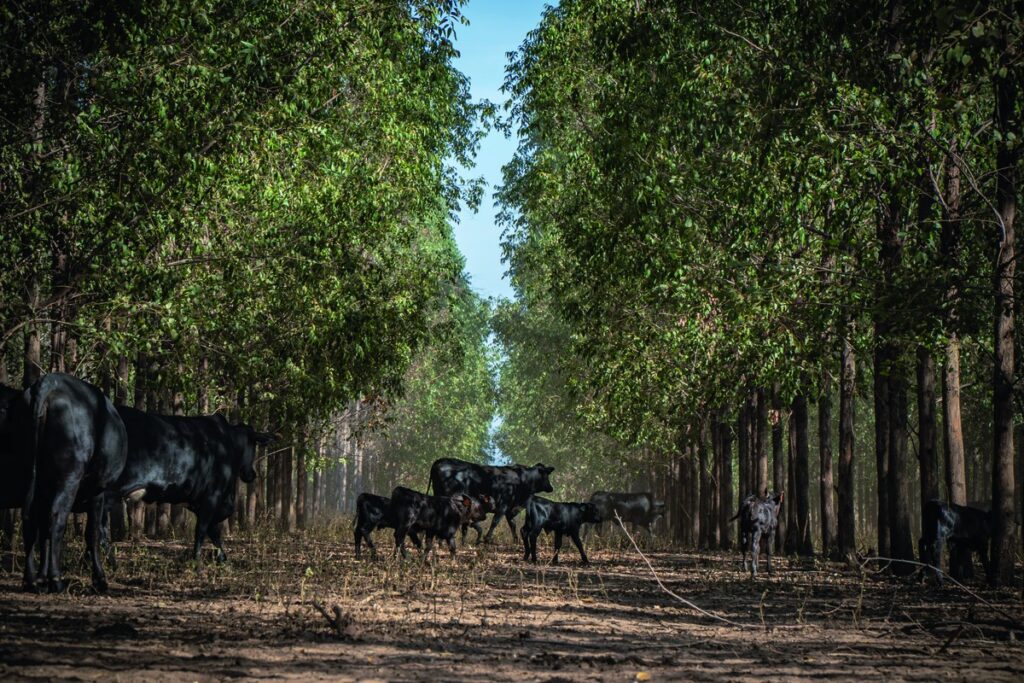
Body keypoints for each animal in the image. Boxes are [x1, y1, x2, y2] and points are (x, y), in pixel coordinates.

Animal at [15, 374, 126, 593]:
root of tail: (48, 382)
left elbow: (44, 532)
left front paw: (42, 577)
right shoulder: (97, 491)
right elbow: (93, 532)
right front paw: (99, 579)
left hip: (31, 471)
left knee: (31, 516)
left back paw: (31, 580)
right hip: (70, 475)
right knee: (57, 516)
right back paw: (56, 579)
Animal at [113, 409, 272, 565]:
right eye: (253, 444)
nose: (251, 474)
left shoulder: (197, 502)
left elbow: (213, 530)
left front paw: (222, 558)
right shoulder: (212, 496)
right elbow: (202, 529)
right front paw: (197, 559)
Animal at [428, 458, 557, 544]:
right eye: (546, 474)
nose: (551, 488)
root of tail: (440, 461)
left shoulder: (510, 509)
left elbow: (513, 525)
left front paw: (516, 540)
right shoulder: (503, 505)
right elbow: (495, 521)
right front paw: (487, 538)